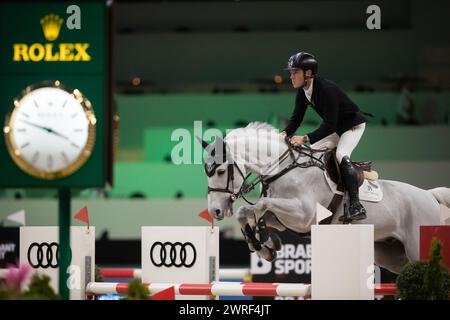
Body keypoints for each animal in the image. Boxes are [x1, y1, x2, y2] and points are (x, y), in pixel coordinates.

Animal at [200, 122, 450, 272]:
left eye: (220, 171)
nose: (215, 211)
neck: (282, 168)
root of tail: (429, 195)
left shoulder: (304, 215)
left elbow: (261, 205)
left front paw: (265, 241)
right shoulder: (284, 219)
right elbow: (247, 212)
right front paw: (264, 245)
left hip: (416, 247)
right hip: (391, 254)